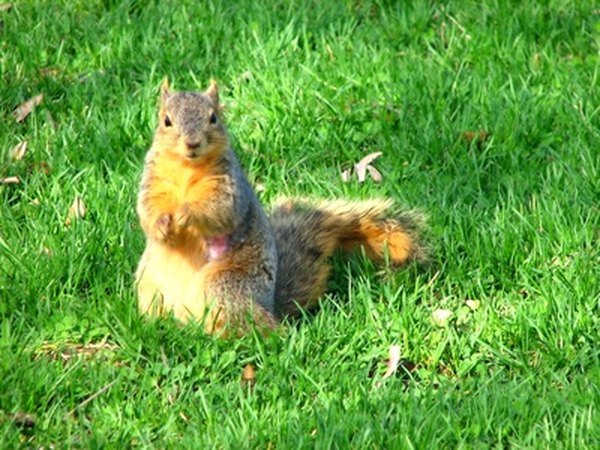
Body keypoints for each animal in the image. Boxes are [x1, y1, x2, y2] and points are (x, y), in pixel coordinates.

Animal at [136, 79, 428, 336]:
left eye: (213, 118)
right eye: (166, 120)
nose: (193, 143)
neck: (187, 168)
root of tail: (270, 309)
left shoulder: (231, 187)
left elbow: (221, 211)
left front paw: (186, 214)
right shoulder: (151, 182)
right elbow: (146, 211)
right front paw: (162, 225)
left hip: (224, 286)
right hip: (149, 283)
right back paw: (157, 326)